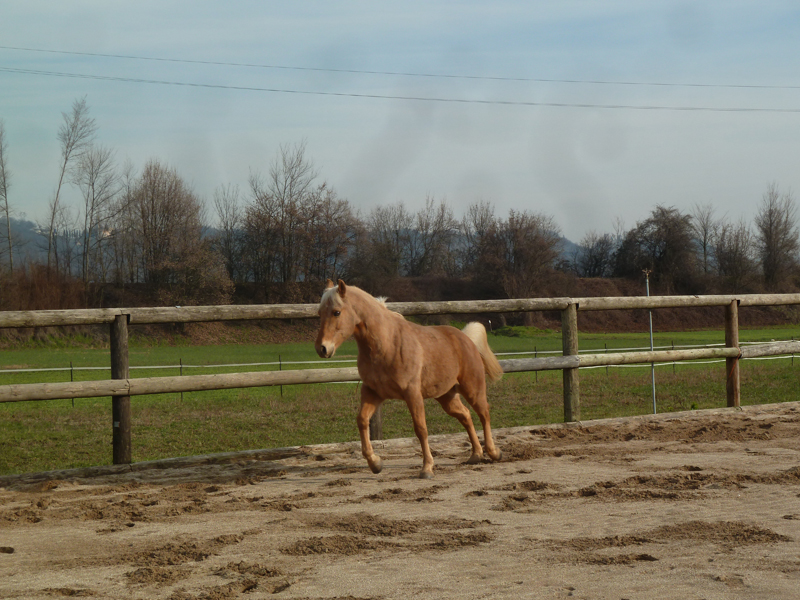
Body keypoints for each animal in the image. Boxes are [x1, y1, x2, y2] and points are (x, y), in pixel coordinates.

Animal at [315, 279, 503, 479]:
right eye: (320, 313)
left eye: (336, 312)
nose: (322, 348)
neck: (386, 344)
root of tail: (465, 338)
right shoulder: (373, 392)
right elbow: (362, 420)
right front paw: (375, 463)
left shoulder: (412, 394)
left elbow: (421, 429)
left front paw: (427, 468)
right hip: (447, 397)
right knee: (466, 416)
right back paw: (476, 455)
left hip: (473, 389)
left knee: (484, 413)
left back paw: (493, 452)